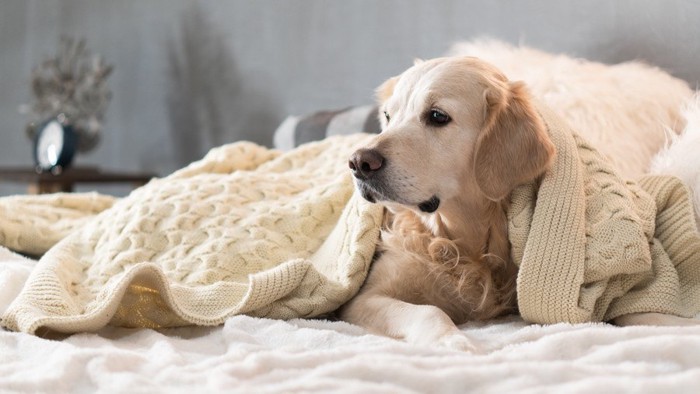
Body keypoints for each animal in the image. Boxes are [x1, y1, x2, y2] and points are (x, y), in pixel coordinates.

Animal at [340, 55, 700, 350]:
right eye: (388, 116)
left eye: (438, 116)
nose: (358, 162)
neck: (469, 239)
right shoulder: (362, 299)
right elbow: (428, 311)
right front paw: (454, 341)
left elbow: (634, 311)